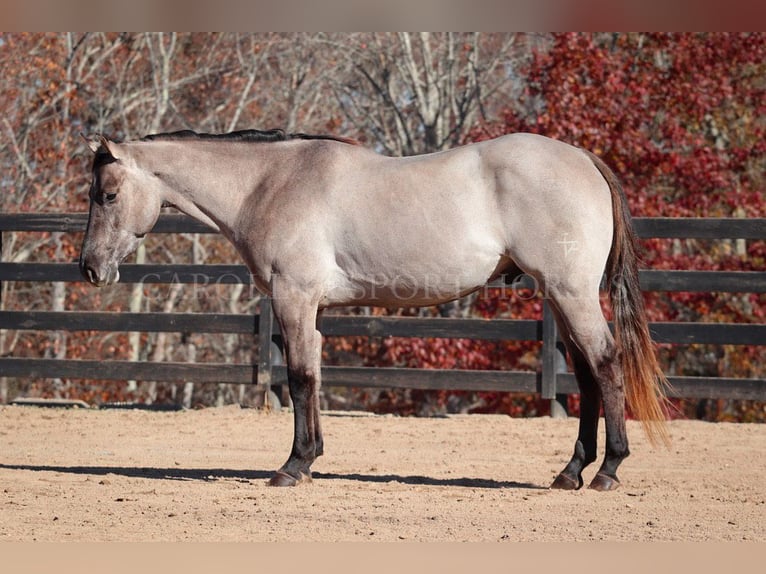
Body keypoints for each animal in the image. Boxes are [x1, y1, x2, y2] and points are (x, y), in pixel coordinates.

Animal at [79, 128, 672, 492]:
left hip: (571, 293)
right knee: (587, 374)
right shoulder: (311, 308)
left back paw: (608, 470)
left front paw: (292, 467)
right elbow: (314, 377)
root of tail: (583, 158)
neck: (270, 183)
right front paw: (312, 459)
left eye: (106, 195)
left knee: (607, 364)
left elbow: (298, 379)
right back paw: (571, 471)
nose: (89, 268)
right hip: (559, 297)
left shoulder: (293, 297)